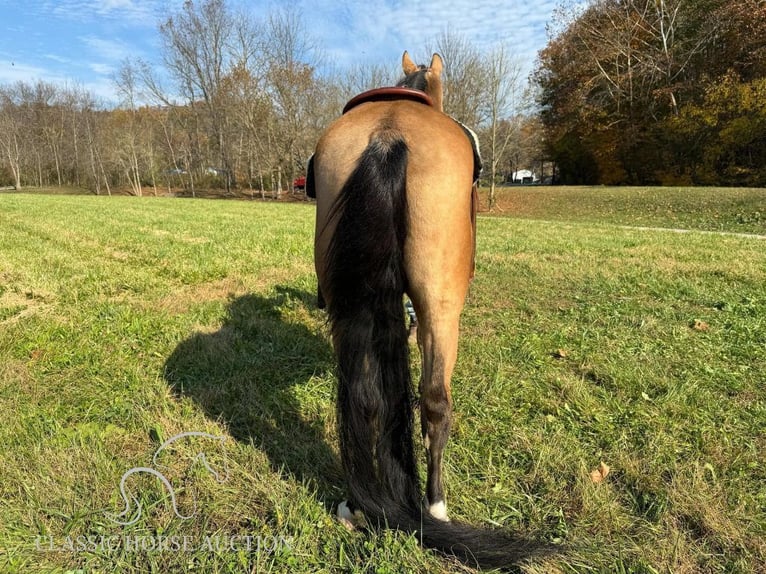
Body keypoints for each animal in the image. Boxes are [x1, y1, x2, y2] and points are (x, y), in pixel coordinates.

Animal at [312, 51, 552, 568]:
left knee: (359, 397)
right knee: (435, 402)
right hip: (441, 309)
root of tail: (386, 134)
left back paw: (357, 504)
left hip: (347, 304)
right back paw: (435, 506)